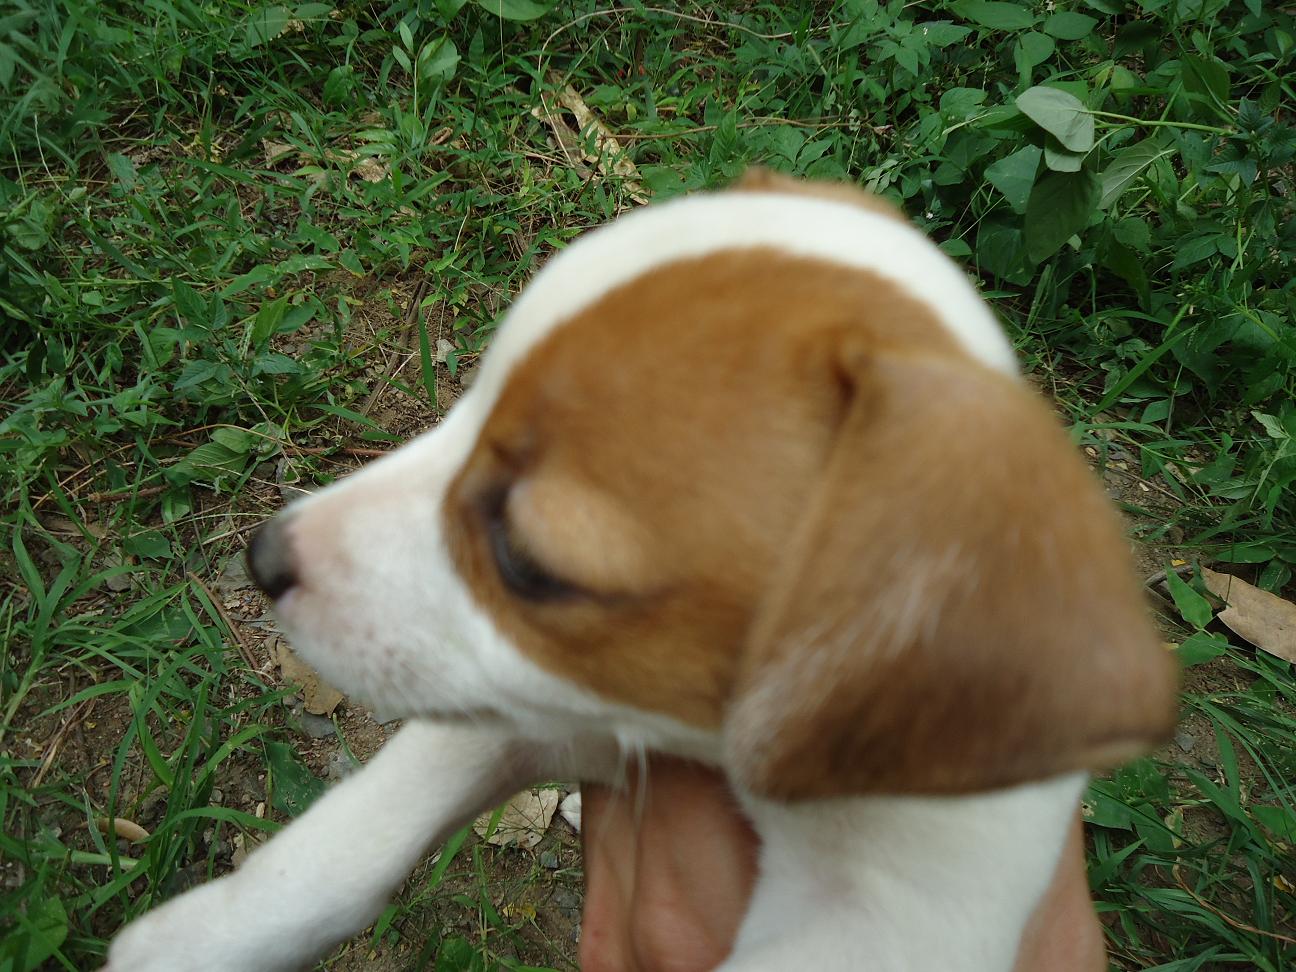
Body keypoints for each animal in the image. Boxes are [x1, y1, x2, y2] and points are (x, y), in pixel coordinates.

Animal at [106, 171, 1177, 971]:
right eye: (465, 407)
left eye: (526, 557)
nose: (264, 556)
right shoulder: (550, 703)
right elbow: (351, 839)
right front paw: (197, 942)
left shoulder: (902, 914)